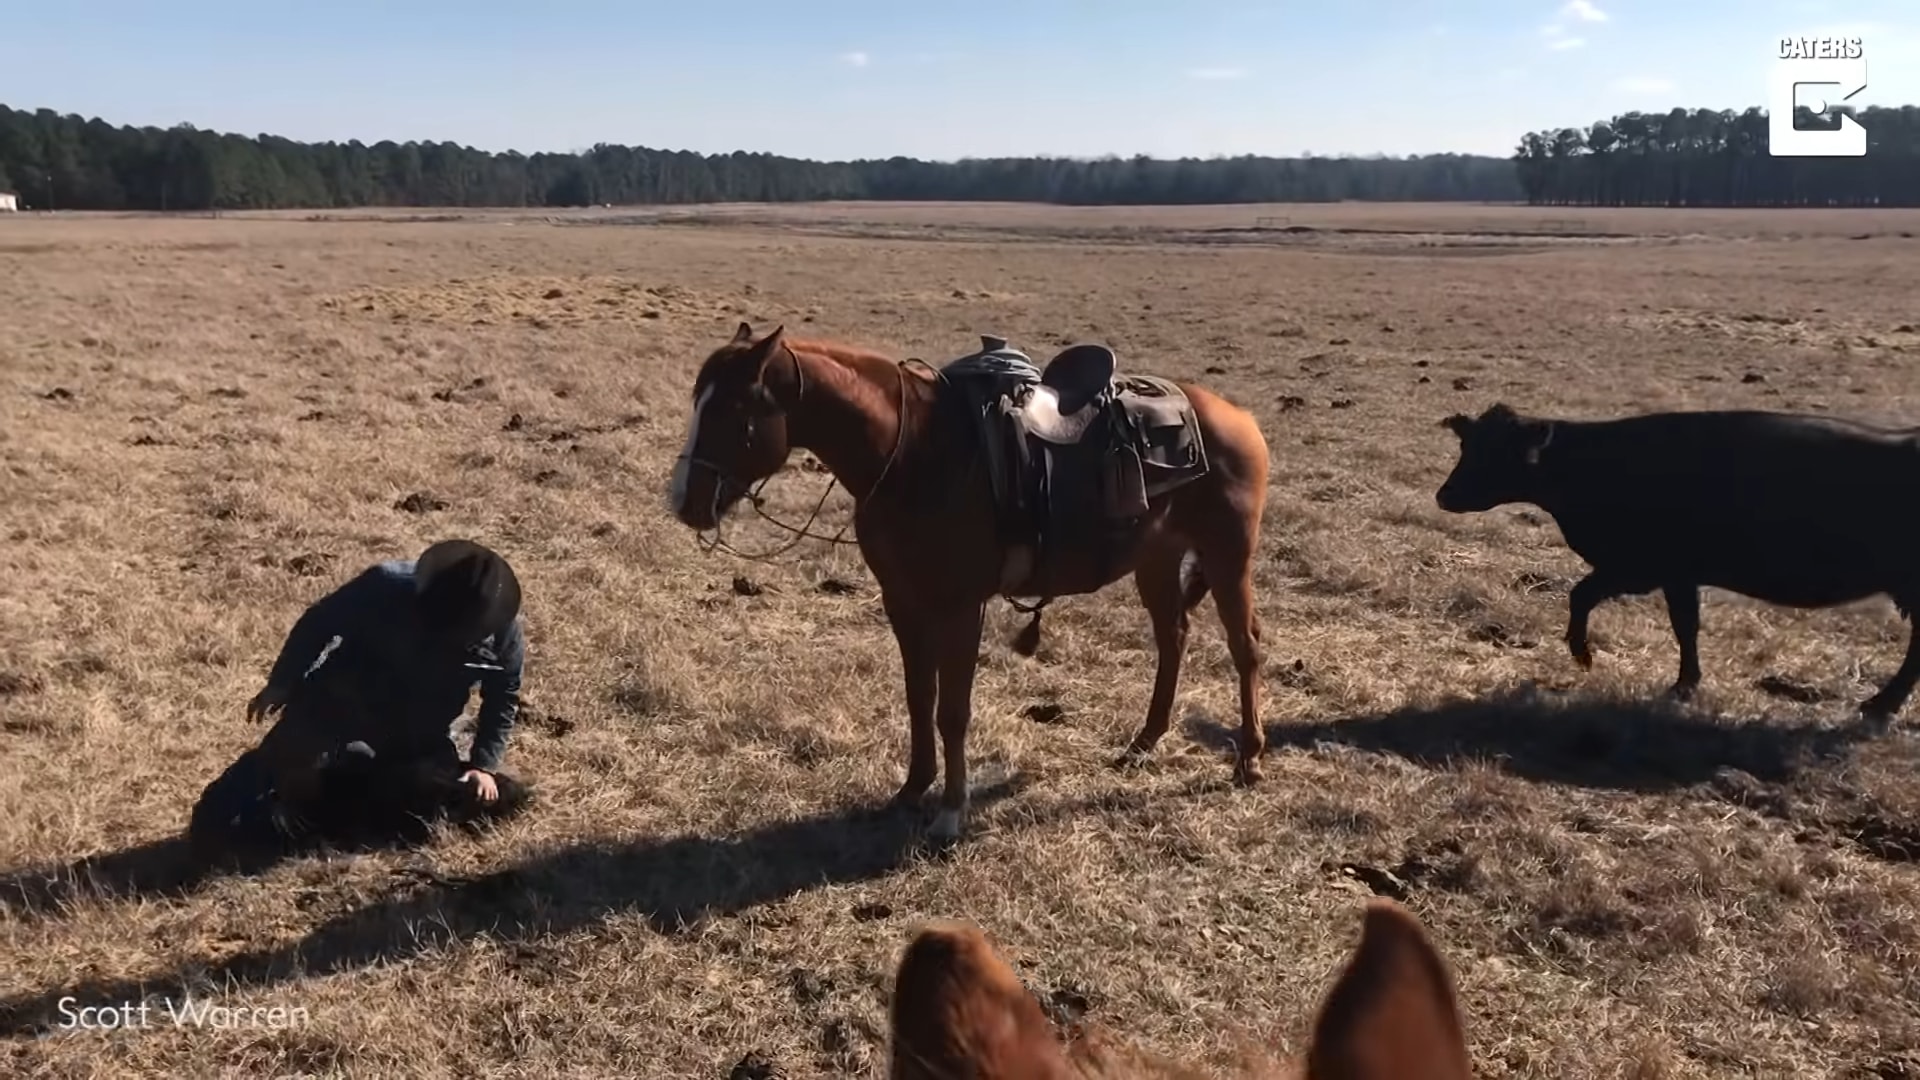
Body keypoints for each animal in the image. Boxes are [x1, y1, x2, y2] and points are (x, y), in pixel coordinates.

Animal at [668, 322, 1267, 837]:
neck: (913, 453)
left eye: (734, 413)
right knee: (1173, 638)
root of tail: (1237, 418)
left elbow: (952, 712)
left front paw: (951, 813)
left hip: (1227, 556)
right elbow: (919, 698)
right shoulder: (902, 601)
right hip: (1157, 559)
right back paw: (1145, 742)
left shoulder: (960, 607)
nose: (683, 502)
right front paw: (912, 790)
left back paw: (1249, 760)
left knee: (1245, 648)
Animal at [1436, 399, 1920, 718]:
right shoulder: (1672, 574)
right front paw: (1686, 682)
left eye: (1498, 452)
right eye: (1467, 447)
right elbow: (1683, 625)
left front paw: (1584, 654)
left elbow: (1583, 595)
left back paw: (1880, 704)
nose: (1444, 495)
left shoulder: (1643, 566)